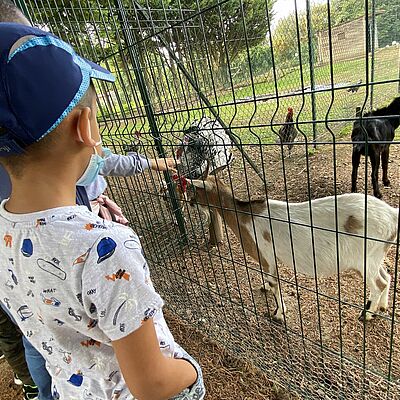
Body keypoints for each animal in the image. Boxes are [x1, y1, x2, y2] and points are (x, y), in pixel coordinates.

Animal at [190, 175, 396, 322]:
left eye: (196, 189)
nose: (190, 202)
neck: (245, 217)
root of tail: (392, 215)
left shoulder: (266, 255)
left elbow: (275, 283)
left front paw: (278, 314)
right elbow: (269, 281)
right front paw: (265, 287)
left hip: (364, 259)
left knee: (379, 283)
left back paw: (367, 315)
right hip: (376, 255)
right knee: (386, 276)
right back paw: (382, 307)